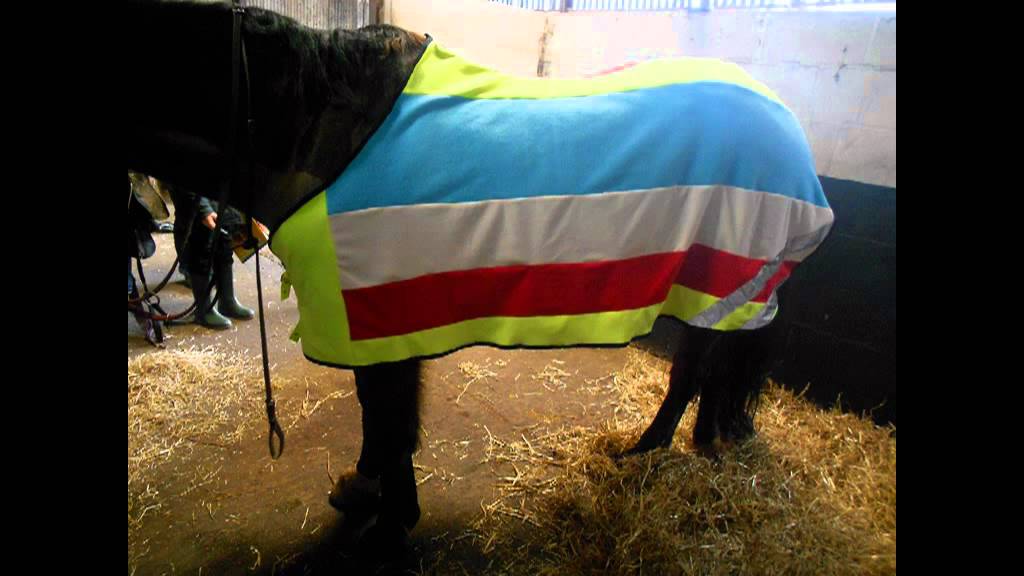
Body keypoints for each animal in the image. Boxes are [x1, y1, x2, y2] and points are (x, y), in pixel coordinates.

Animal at [126, 0, 833, 562]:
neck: (323, 130)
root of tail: (786, 121)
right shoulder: (371, 323)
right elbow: (376, 415)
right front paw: (365, 491)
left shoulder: (382, 319)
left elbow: (391, 422)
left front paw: (390, 523)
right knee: (708, 368)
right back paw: (693, 445)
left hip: (724, 283)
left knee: (699, 367)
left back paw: (654, 450)